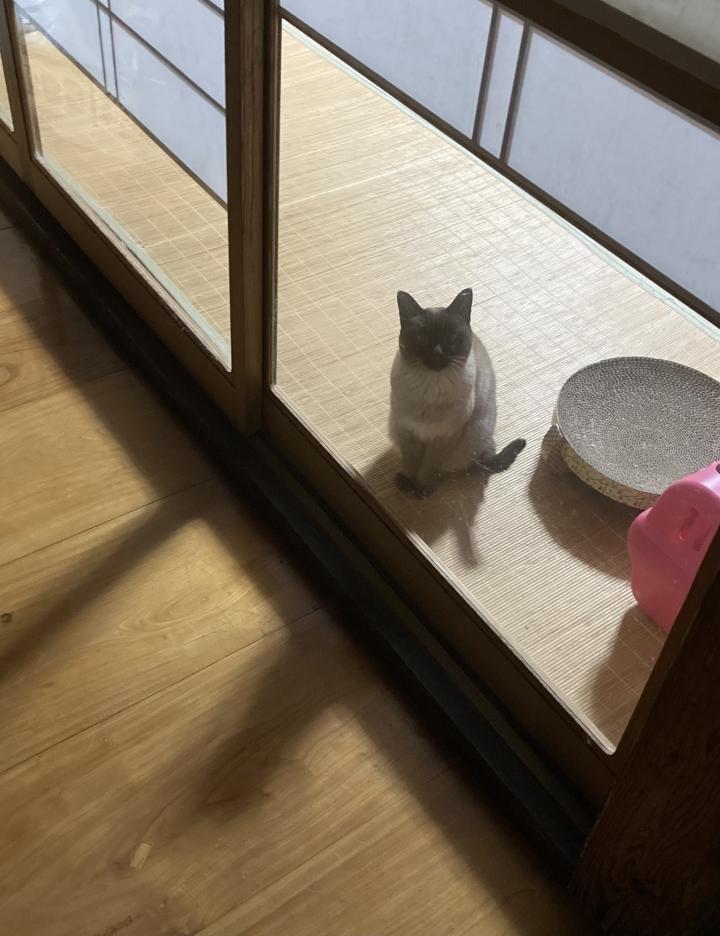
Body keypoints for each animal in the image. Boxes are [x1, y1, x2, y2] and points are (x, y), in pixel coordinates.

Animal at [389, 288, 526, 497]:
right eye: (422, 338)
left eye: (450, 338)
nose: (437, 353)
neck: (430, 388)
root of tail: (488, 447)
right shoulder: (407, 430)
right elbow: (411, 461)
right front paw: (406, 483)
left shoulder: (443, 437)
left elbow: (428, 466)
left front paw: (422, 489)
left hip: (474, 433)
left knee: (450, 467)